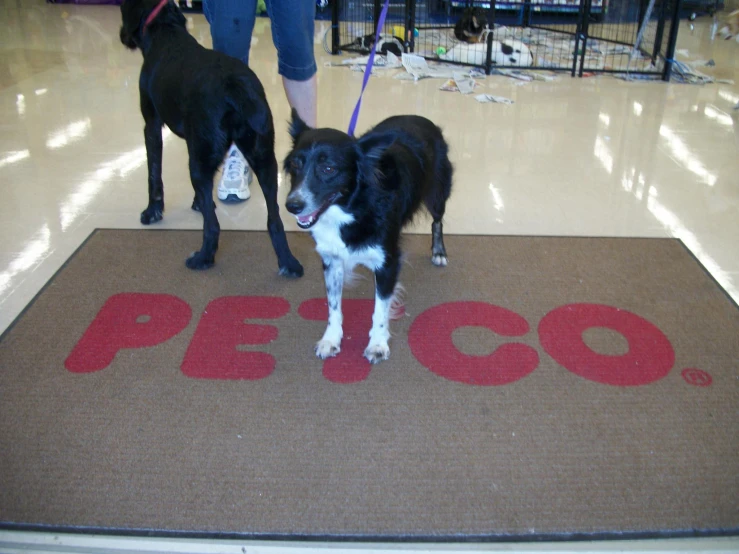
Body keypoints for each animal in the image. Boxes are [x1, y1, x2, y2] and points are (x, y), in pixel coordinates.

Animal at [119, 0, 304, 274]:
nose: (122, 36)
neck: (165, 30)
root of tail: (234, 85)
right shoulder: (192, 141)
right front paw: (196, 202)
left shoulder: (151, 126)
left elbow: (154, 174)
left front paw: (153, 211)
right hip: (264, 159)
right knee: (275, 220)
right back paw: (288, 262)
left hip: (200, 162)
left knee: (213, 225)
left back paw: (203, 257)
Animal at [286, 110, 454, 364]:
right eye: (295, 164)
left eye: (328, 169)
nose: (292, 206)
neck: (353, 205)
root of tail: (418, 116)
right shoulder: (331, 260)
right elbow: (333, 306)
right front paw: (331, 339)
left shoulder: (388, 263)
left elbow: (380, 310)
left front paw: (377, 344)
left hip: (438, 191)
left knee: (437, 220)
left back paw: (439, 252)